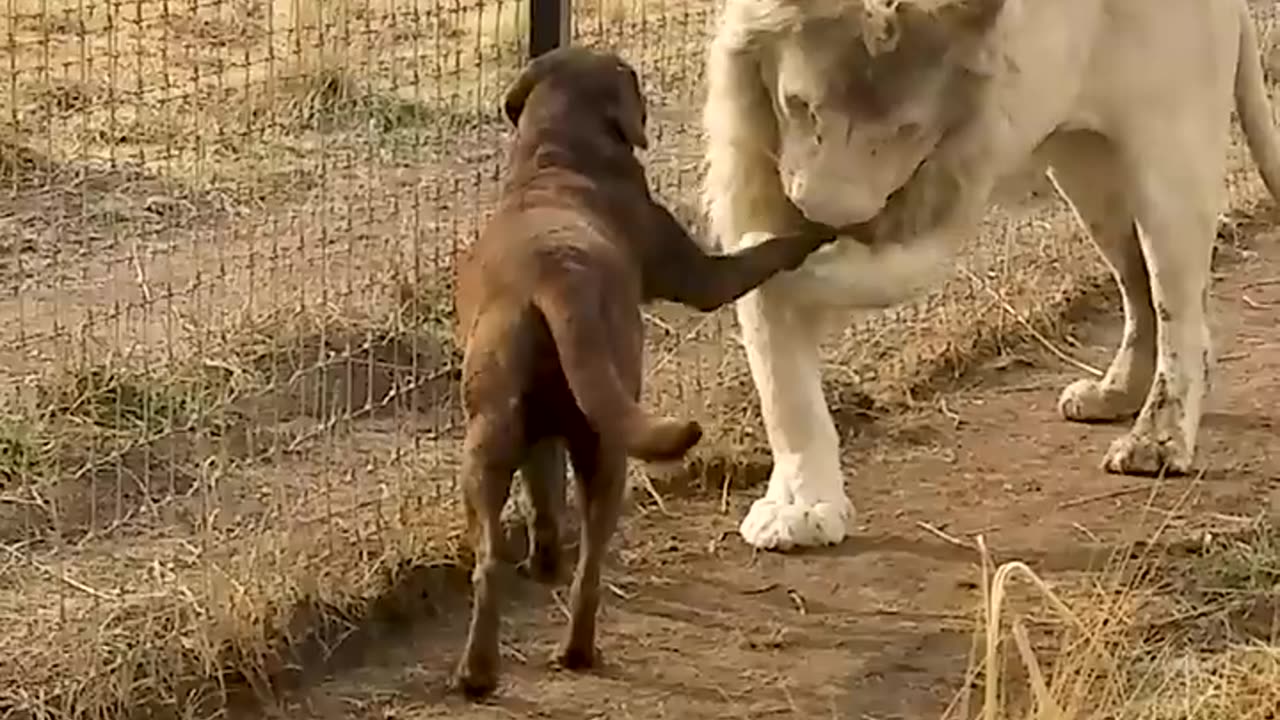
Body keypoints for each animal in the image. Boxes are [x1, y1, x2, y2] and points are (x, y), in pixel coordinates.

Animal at [448, 46, 829, 696]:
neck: (558, 155)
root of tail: (555, 278)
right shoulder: (701, 275)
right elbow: (763, 254)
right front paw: (814, 230)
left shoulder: (539, 438)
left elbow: (542, 496)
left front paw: (542, 559)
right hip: (608, 450)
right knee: (591, 566)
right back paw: (577, 651)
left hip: (491, 438)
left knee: (490, 559)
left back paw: (479, 670)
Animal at [701, 0, 1280, 548]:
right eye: (800, 105)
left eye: (908, 129)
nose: (825, 218)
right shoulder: (753, 171)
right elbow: (782, 381)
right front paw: (800, 509)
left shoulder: (956, 177)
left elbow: (873, 274)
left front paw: (786, 261)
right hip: (1085, 168)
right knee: (1139, 290)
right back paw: (1114, 394)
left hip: (1168, 159)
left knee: (1178, 309)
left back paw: (1157, 441)